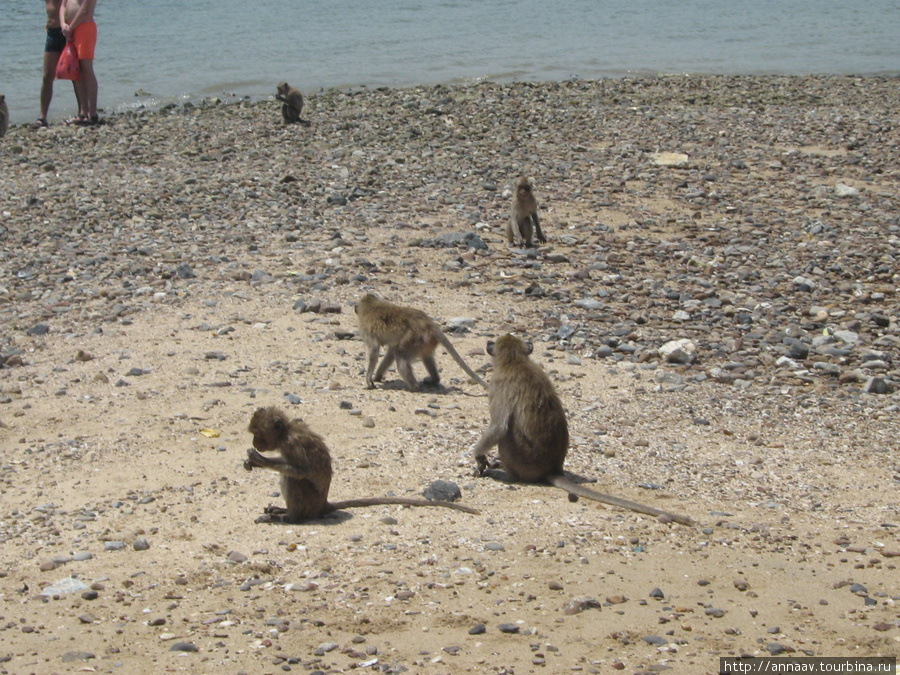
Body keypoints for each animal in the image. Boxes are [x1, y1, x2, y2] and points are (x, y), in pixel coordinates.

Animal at [239, 406, 478, 524]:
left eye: (258, 434)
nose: (254, 443)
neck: (286, 433)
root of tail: (323, 505)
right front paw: (253, 461)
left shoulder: (295, 444)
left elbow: (302, 472)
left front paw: (260, 460)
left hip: (311, 503)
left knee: (295, 480)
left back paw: (289, 518)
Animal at [356, 294, 488, 394]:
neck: (371, 306)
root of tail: (430, 324)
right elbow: (391, 351)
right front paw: (377, 377)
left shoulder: (365, 330)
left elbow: (375, 350)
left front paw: (369, 379)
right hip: (425, 341)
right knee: (423, 356)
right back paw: (434, 380)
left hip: (416, 338)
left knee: (400, 355)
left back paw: (414, 387)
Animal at [472, 336, 696, 524]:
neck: (515, 360)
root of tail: (552, 468)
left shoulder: (497, 385)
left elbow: (499, 427)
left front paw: (478, 454)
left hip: (522, 459)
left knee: (506, 436)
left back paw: (507, 475)